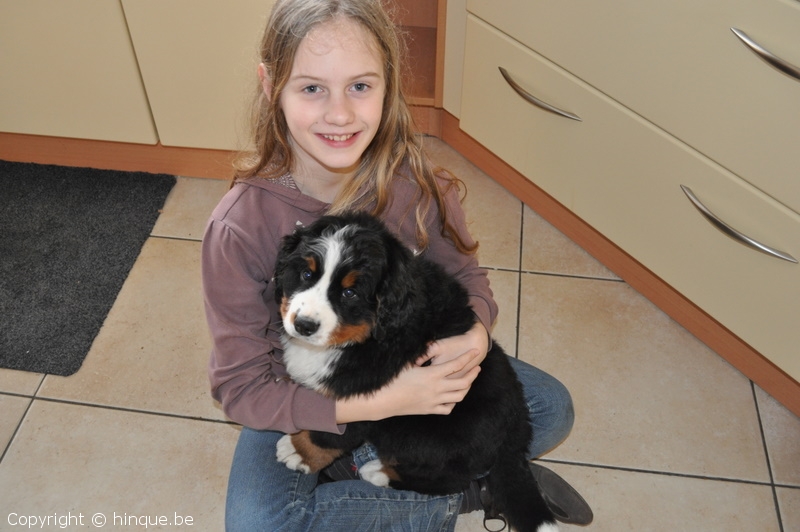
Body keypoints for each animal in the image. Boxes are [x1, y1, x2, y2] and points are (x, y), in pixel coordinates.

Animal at [273, 212, 558, 532]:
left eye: (349, 292)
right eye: (306, 275)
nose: (304, 325)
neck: (363, 338)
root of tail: (515, 431)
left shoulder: (368, 395)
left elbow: (334, 433)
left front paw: (298, 450)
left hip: (424, 434)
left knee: (450, 481)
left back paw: (378, 471)